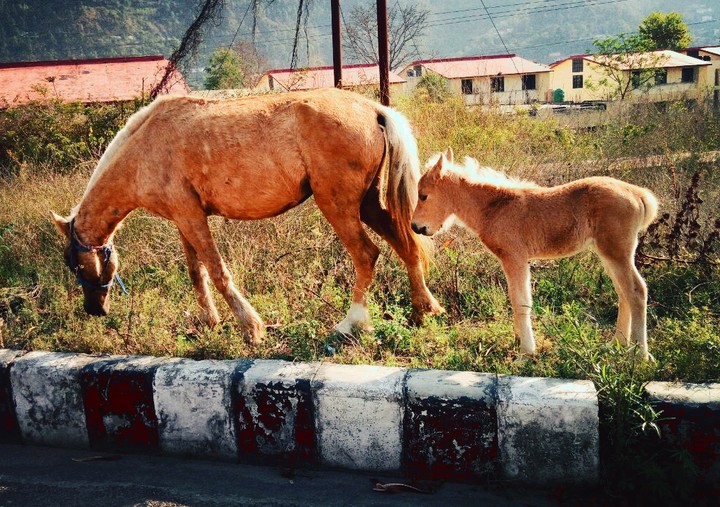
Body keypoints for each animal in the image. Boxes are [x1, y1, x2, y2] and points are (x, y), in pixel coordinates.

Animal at [51, 88, 444, 345]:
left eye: (75, 264)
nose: (93, 310)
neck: (145, 148)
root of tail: (374, 109)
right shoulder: (183, 220)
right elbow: (197, 272)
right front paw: (208, 322)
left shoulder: (192, 218)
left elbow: (217, 271)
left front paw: (250, 328)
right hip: (368, 204)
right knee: (406, 245)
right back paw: (424, 310)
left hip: (339, 206)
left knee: (367, 255)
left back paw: (352, 324)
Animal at [411, 148, 658, 360]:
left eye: (423, 196)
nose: (415, 226)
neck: (495, 208)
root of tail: (639, 194)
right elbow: (516, 300)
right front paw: (519, 340)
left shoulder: (515, 259)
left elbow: (521, 301)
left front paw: (526, 351)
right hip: (609, 254)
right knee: (623, 292)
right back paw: (617, 345)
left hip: (616, 252)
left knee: (637, 291)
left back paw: (640, 355)